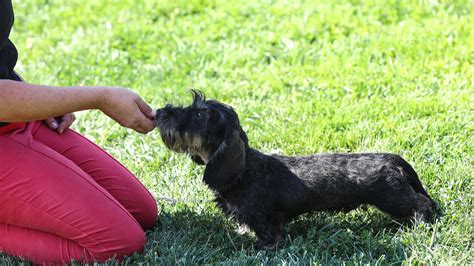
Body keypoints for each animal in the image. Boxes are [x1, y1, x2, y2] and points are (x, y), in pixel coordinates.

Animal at [156, 91, 436, 249]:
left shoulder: (264, 218)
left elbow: (268, 233)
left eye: (200, 115)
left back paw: (422, 224)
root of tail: (393, 159)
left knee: (421, 204)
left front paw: (263, 247)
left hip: (392, 198)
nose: (160, 111)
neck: (244, 170)